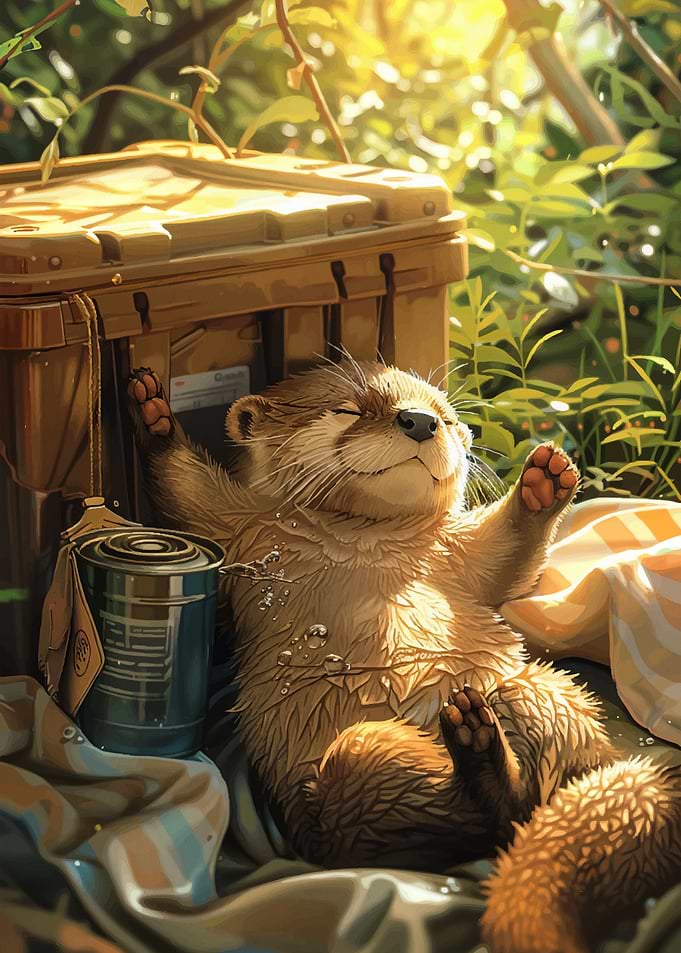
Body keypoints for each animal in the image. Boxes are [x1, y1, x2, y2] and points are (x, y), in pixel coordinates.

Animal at [127, 359, 681, 953]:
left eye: (446, 415)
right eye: (348, 408)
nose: (419, 421)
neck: (362, 540)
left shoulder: (457, 551)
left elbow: (503, 560)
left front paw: (544, 481)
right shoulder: (244, 534)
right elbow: (189, 496)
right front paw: (154, 414)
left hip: (545, 694)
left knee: (513, 792)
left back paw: (480, 736)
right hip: (360, 765)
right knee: (453, 819)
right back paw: (473, 744)